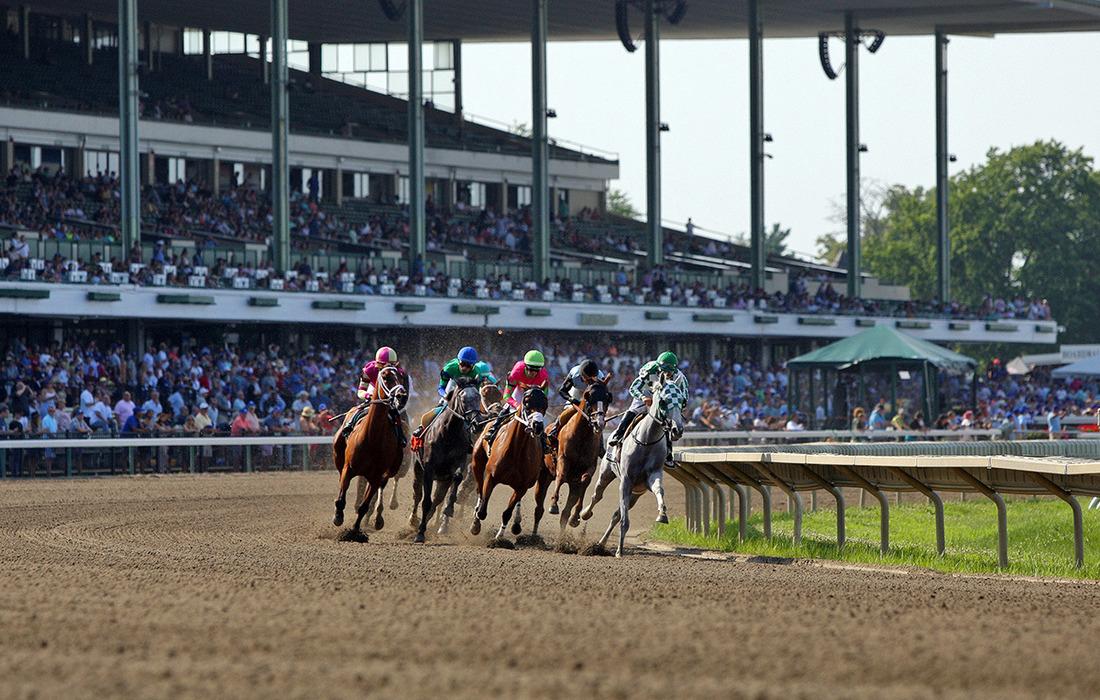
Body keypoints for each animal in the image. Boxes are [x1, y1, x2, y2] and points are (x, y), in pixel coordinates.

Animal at [332, 363, 411, 532]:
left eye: (401, 377)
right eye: (386, 377)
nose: (401, 396)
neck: (372, 437)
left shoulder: (376, 476)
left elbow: (365, 505)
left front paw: (355, 531)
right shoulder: (348, 468)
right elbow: (341, 498)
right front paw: (338, 517)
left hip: (394, 468)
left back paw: (378, 517)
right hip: (338, 455)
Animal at [413, 380, 481, 543]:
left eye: (479, 397)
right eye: (463, 400)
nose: (477, 423)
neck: (448, 433)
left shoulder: (459, 461)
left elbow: (457, 477)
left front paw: (449, 509)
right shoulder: (428, 469)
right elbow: (425, 501)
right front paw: (419, 534)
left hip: (443, 480)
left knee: (437, 499)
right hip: (418, 468)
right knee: (418, 495)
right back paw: (414, 522)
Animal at [466, 387, 547, 541]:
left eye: (544, 406)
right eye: (527, 403)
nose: (538, 425)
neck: (517, 449)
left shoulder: (522, 486)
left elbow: (507, 512)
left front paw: (499, 537)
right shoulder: (491, 477)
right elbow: (482, 509)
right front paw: (475, 526)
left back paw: (516, 523)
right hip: (477, 463)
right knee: (479, 490)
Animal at [539, 376, 616, 530]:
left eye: (608, 397)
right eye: (588, 396)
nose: (599, 423)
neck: (582, 436)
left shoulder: (590, 465)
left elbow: (585, 480)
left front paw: (575, 517)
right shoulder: (563, 459)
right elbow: (561, 475)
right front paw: (553, 504)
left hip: (572, 485)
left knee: (565, 512)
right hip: (544, 475)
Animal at [580, 380, 682, 554]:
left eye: (682, 402)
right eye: (663, 401)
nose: (677, 429)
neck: (647, 441)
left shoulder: (652, 476)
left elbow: (659, 490)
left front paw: (662, 514)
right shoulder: (626, 481)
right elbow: (624, 520)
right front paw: (619, 551)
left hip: (636, 493)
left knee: (616, 514)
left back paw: (601, 543)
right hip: (606, 473)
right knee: (597, 495)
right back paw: (584, 514)